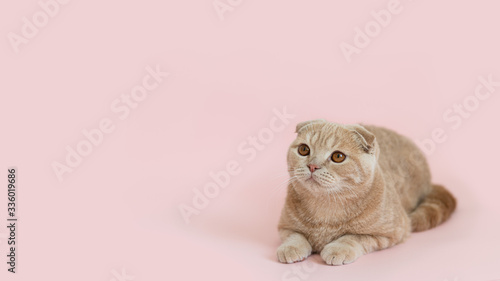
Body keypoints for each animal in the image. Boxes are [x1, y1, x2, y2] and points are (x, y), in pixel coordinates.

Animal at [278, 120, 458, 264]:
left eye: (337, 156)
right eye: (303, 149)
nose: (312, 166)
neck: (325, 207)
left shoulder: (390, 232)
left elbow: (354, 237)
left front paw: (338, 249)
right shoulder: (284, 226)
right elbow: (294, 235)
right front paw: (290, 248)